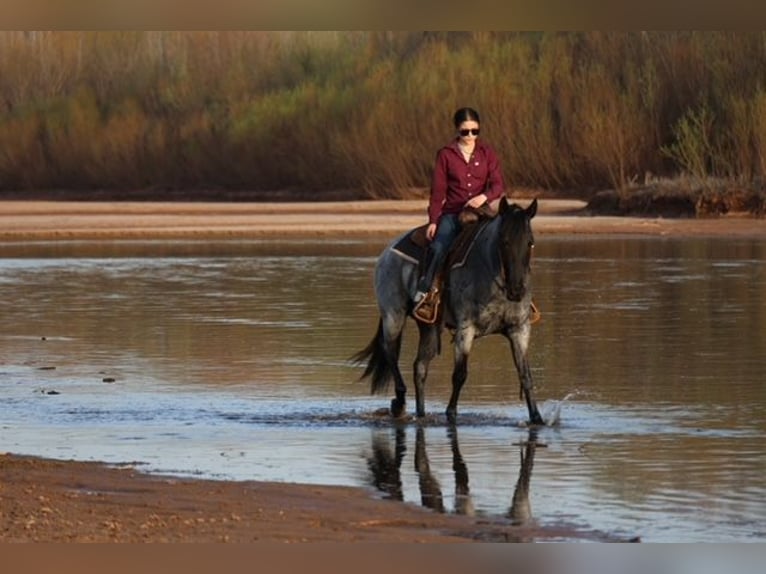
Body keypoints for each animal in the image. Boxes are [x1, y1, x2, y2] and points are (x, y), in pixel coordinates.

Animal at [352, 197, 544, 425]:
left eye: (530, 242)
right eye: (504, 241)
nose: (517, 290)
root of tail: (388, 251)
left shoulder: (519, 330)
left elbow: (526, 375)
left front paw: (537, 418)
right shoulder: (466, 329)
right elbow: (459, 374)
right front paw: (451, 413)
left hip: (428, 328)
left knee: (419, 368)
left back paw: (421, 413)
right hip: (393, 316)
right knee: (390, 353)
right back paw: (399, 402)